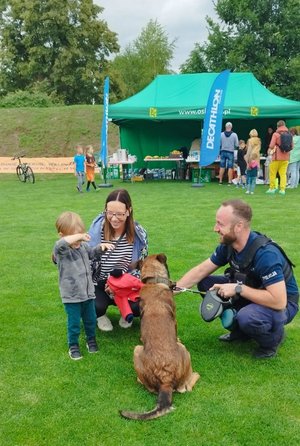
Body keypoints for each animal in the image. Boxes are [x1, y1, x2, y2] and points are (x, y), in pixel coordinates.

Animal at [119, 253, 199, 420]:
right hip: (177, 350)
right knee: (185, 387)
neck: (154, 281)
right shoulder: (175, 320)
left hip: (137, 350)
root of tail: (165, 380)